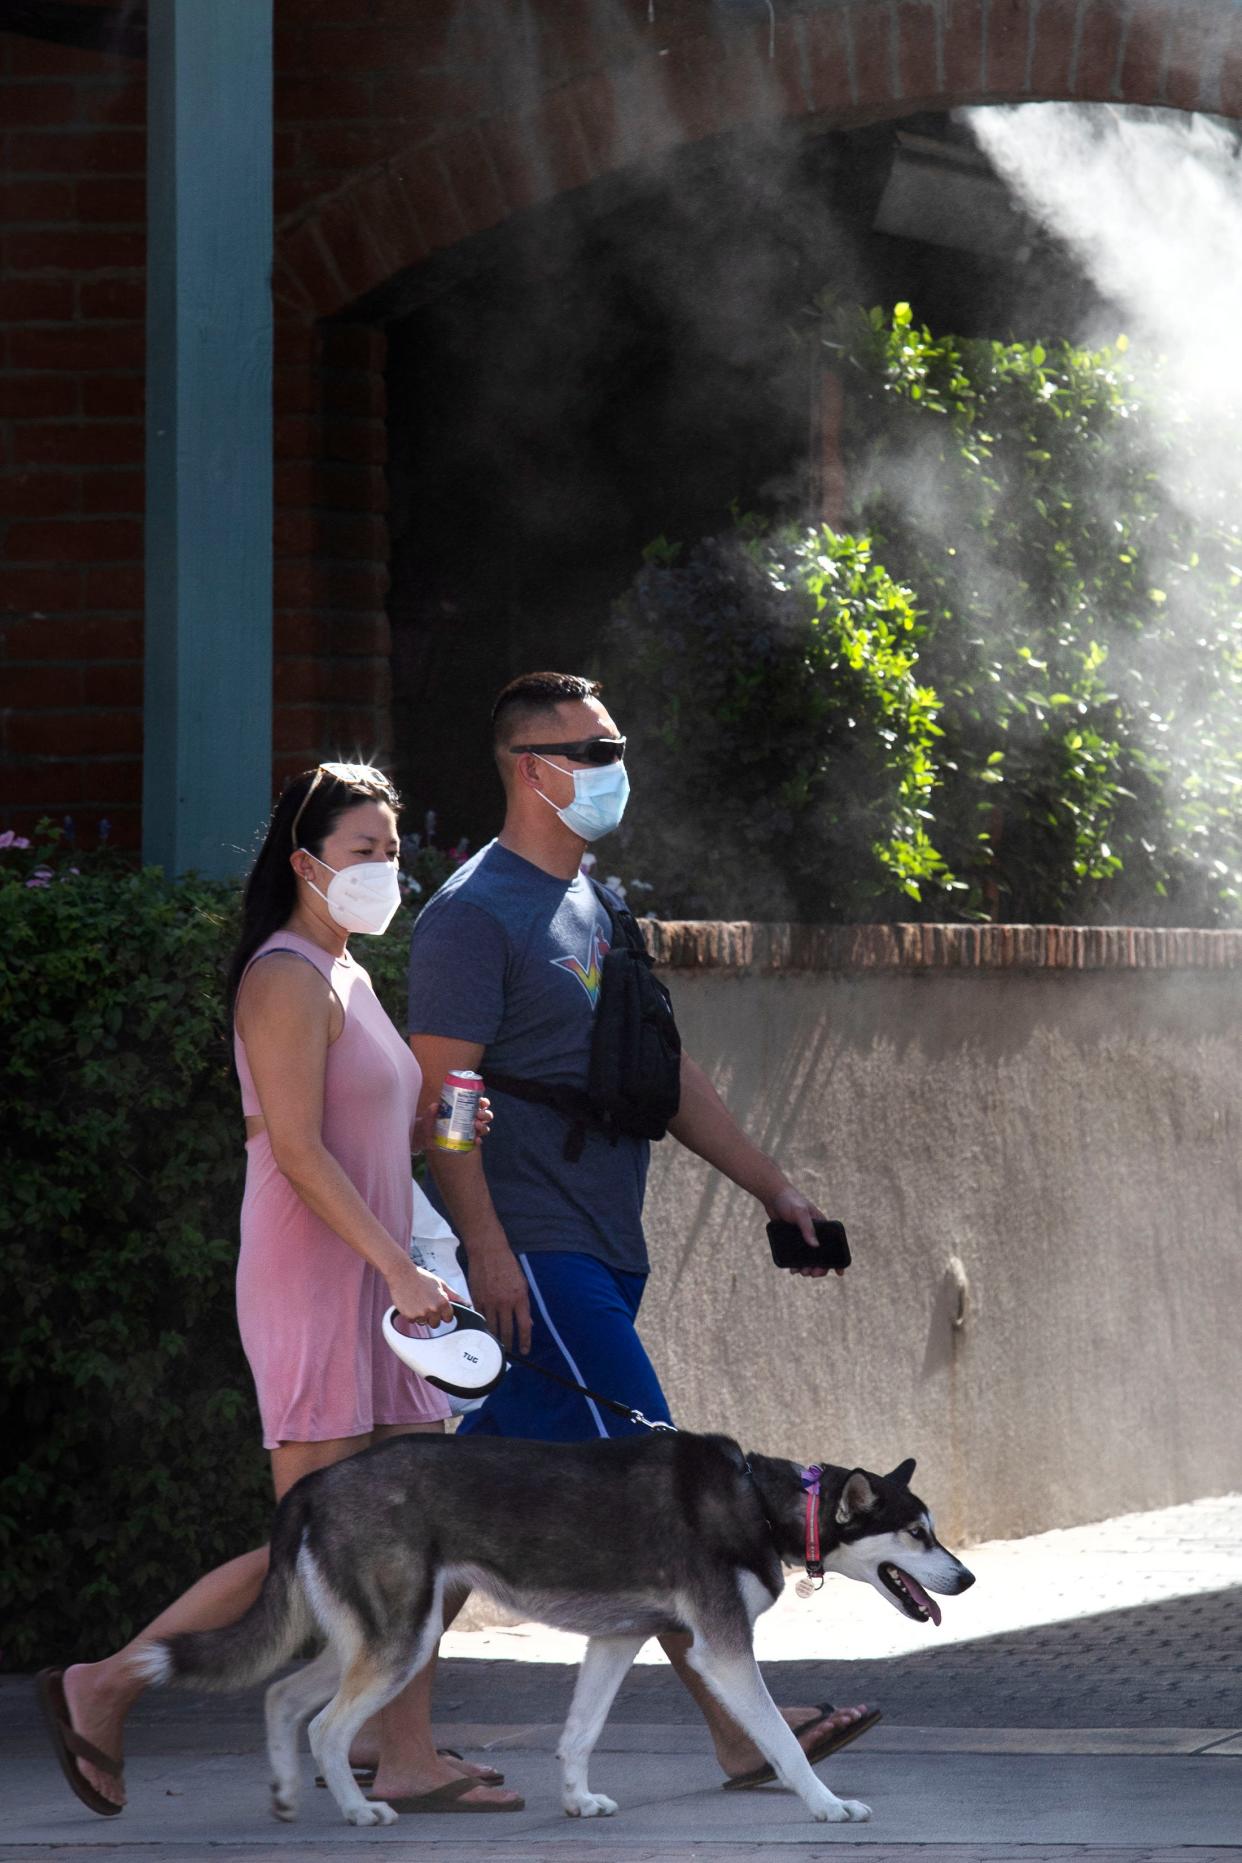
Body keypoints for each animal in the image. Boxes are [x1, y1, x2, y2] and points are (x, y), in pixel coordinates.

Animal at [143, 1430, 968, 1825]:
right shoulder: (723, 1650)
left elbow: (579, 1733)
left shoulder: (618, 1640)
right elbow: (784, 1744)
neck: (760, 1500)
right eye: (918, 1533)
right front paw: (826, 1804)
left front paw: (576, 1800)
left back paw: (287, 1793)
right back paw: (355, 1808)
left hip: (380, 1639)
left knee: (283, 1696)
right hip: (399, 1642)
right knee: (325, 1727)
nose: (967, 1579)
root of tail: (318, 1481)